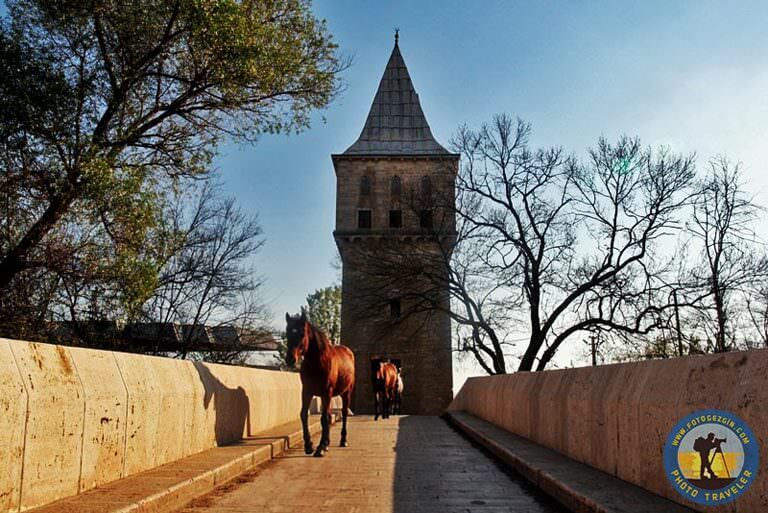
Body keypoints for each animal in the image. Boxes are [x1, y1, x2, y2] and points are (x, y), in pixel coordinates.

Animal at [284, 312, 354, 456]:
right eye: (287, 333)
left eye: (302, 334)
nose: (290, 359)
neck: (317, 363)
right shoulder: (307, 391)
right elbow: (304, 414)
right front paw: (309, 445)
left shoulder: (327, 392)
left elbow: (324, 418)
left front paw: (320, 447)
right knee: (328, 414)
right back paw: (327, 442)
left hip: (346, 392)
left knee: (344, 413)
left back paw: (343, 440)